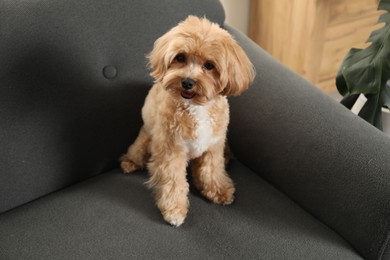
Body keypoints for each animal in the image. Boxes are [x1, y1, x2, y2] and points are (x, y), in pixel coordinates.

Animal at [122, 16, 256, 226]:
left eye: (209, 65)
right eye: (180, 58)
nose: (187, 82)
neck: (196, 107)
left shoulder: (213, 145)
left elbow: (211, 170)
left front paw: (219, 191)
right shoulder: (171, 150)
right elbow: (173, 181)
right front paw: (174, 210)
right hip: (146, 138)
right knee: (137, 151)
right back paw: (129, 163)